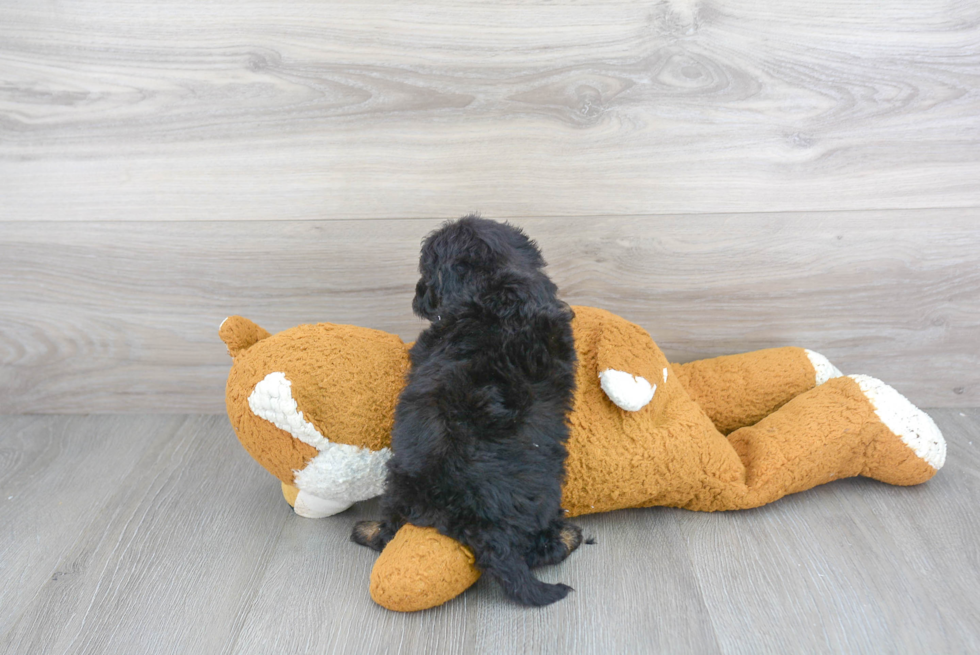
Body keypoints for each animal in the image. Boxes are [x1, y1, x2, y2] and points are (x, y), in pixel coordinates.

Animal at [352, 217, 580, 608]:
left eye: (424, 271)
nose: (416, 295)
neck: (495, 282)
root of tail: (483, 523)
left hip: (399, 483)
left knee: (390, 528)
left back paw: (365, 530)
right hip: (545, 496)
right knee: (544, 549)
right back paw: (571, 535)